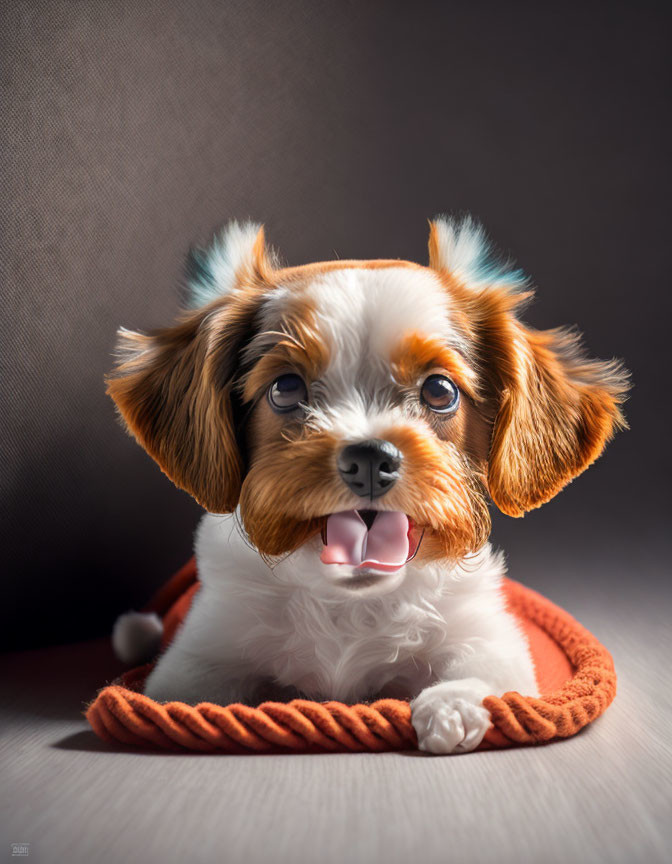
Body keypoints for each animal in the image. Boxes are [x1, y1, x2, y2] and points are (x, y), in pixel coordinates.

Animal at [107, 219, 628, 752]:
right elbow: (189, 696)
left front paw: (453, 703)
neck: (350, 602)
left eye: (440, 390)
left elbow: (485, 672)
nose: (370, 457)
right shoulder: (199, 656)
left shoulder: (490, 641)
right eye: (286, 388)